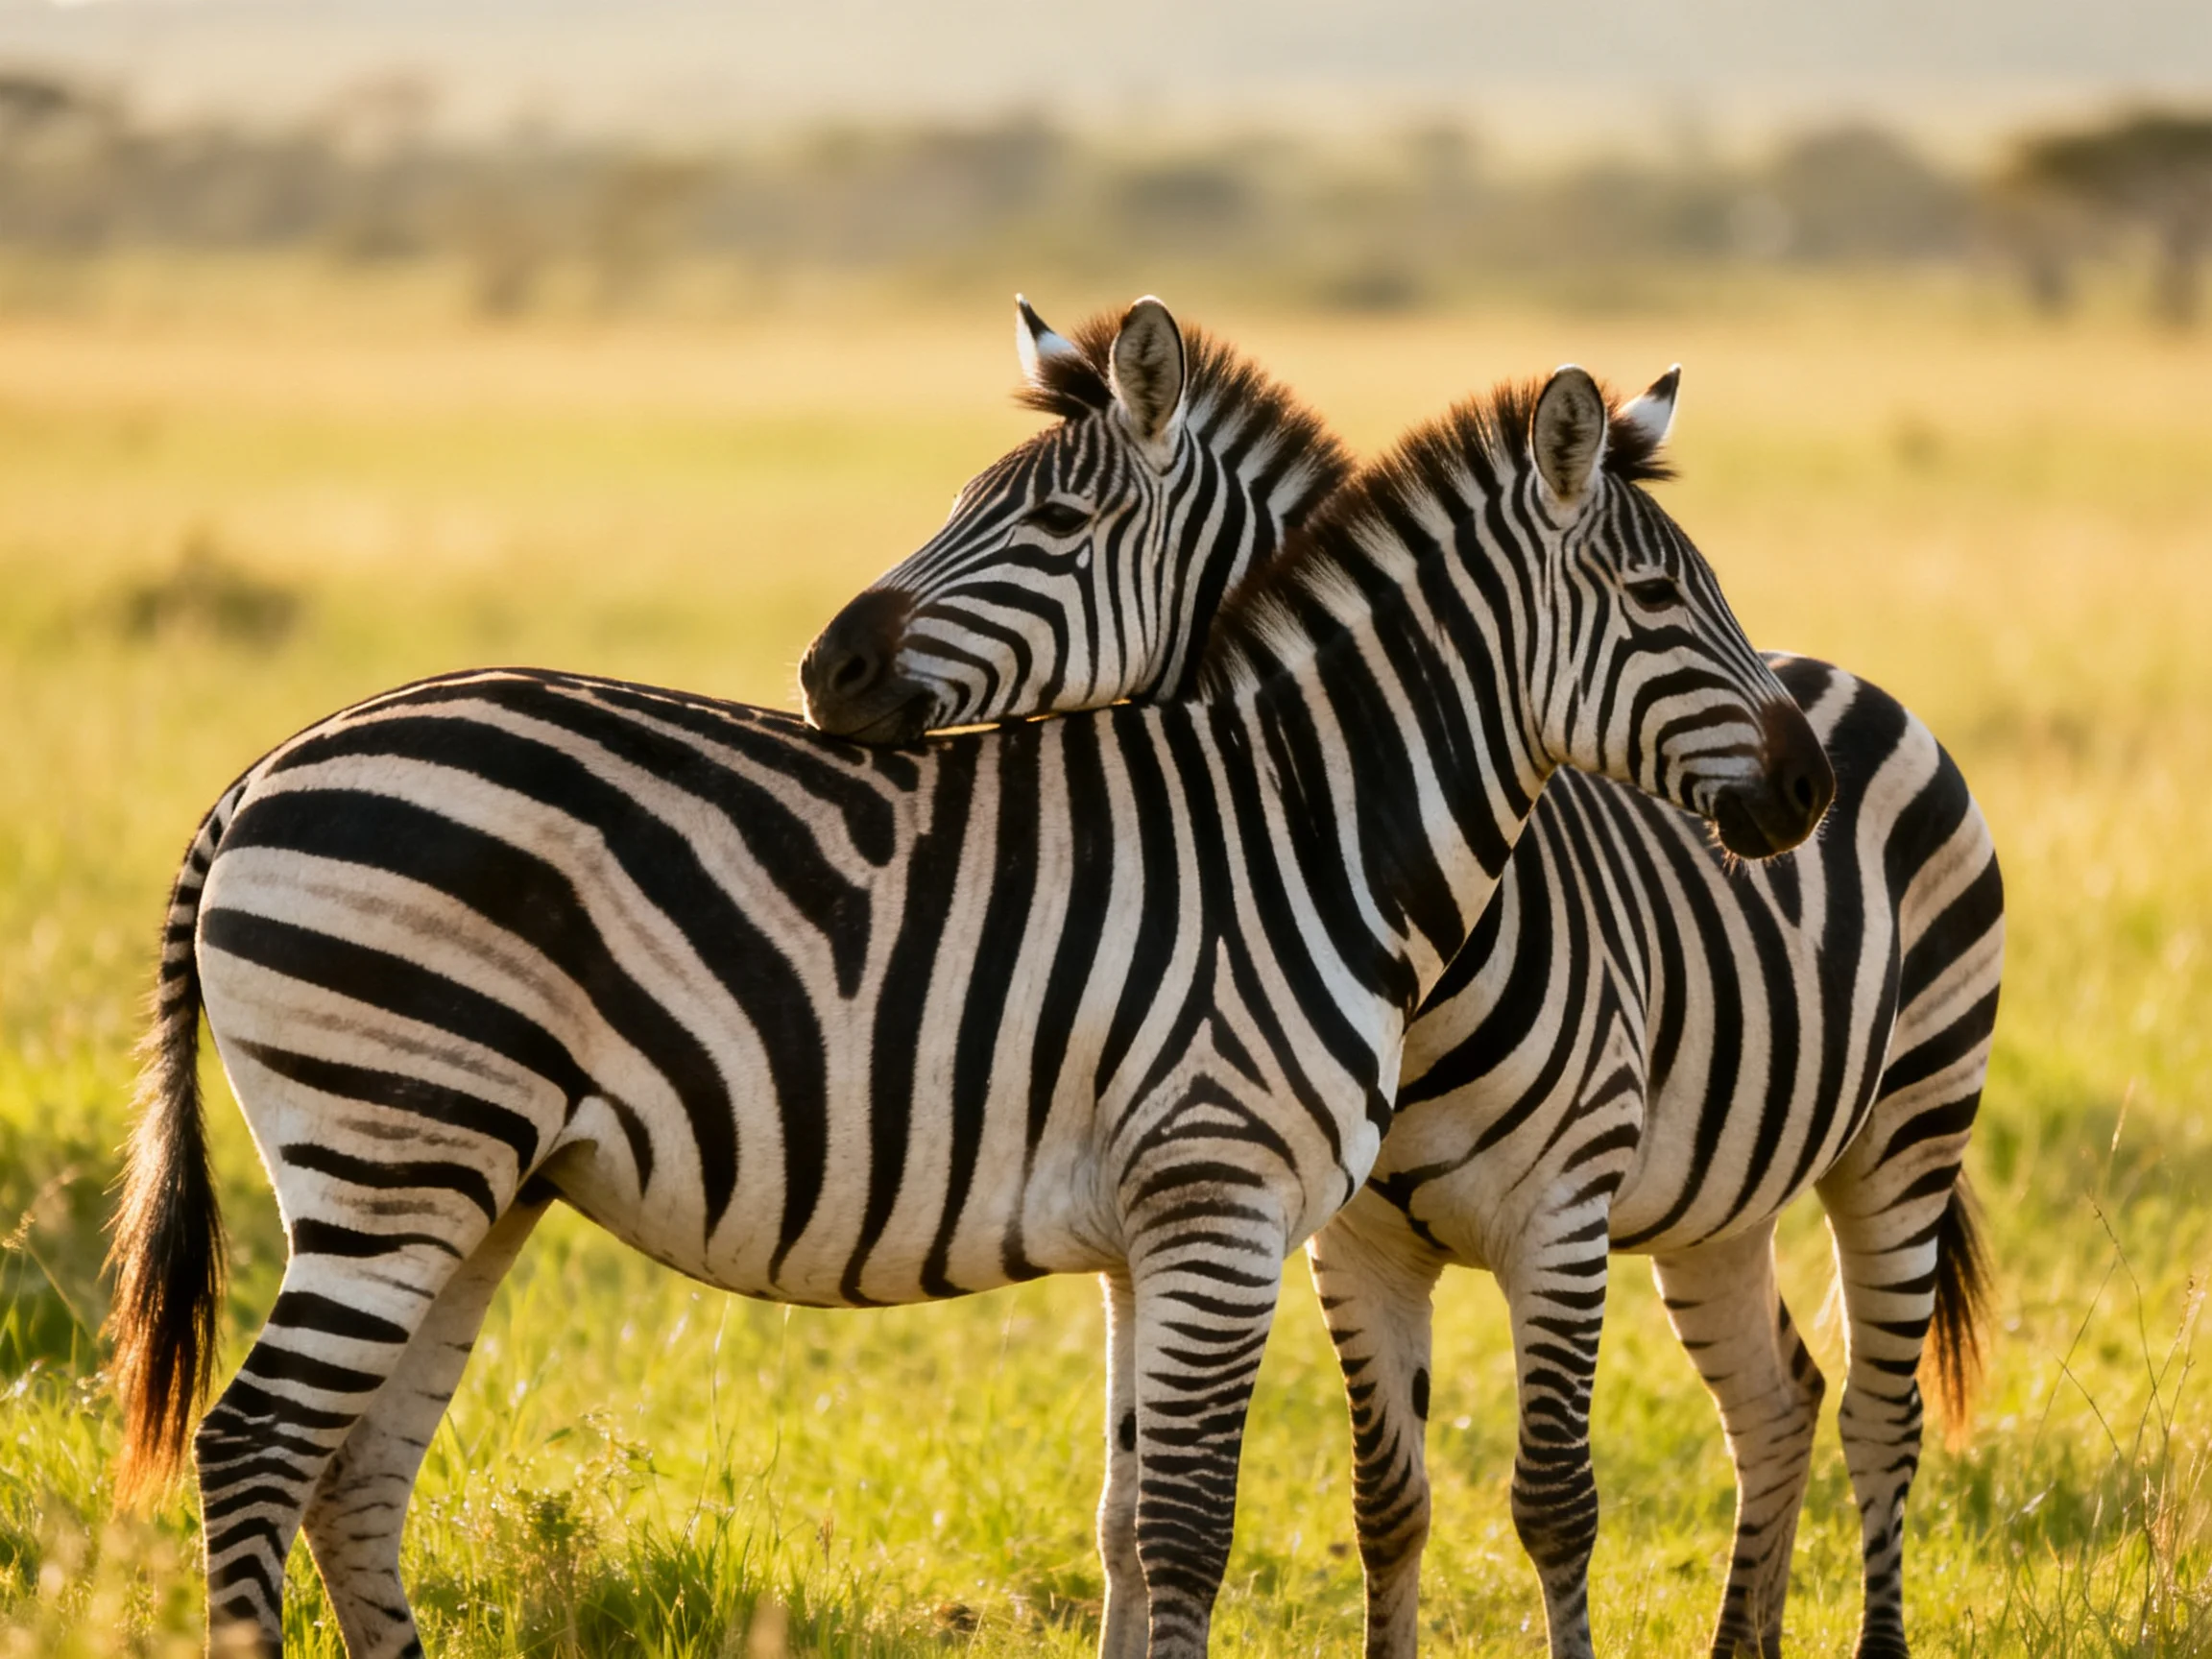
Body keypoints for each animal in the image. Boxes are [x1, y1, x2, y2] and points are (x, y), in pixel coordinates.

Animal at [106, 295, 1831, 1659]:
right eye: (1660, 600)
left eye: (1044, 524)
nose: (1808, 781)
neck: (1302, 818)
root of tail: (256, 775)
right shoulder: (1222, 1201)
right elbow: (1192, 1525)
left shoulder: (1156, 1229)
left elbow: (1131, 1522)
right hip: (393, 1152)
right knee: (256, 1449)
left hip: (468, 1183)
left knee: (356, 1470)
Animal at [803, 299, 1999, 1659]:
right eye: (968, 502)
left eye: (1055, 523)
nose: (825, 668)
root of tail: (1836, 680)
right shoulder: (1354, 1246)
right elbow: (1390, 1503)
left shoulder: (1560, 1222)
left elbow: (1555, 1504)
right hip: (1719, 1204)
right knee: (1778, 1401)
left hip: (1908, 1135)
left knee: (1879, 1420)